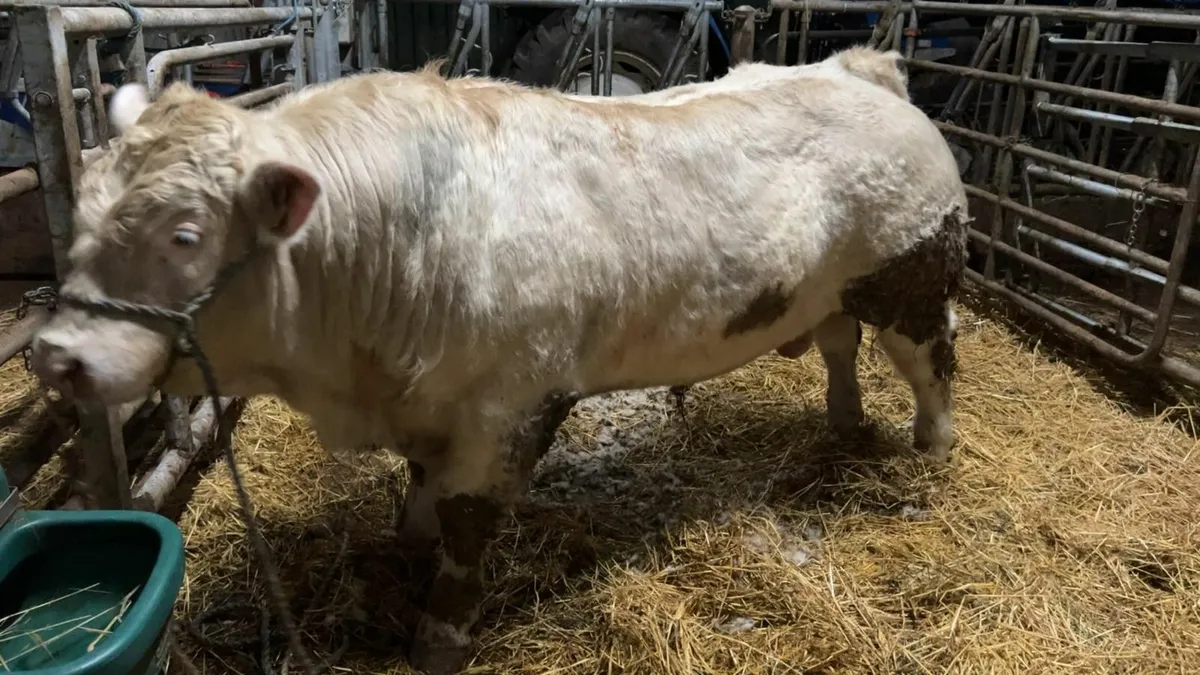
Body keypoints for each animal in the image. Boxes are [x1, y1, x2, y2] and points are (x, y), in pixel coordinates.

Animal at [31, 46, 969, 673]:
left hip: (914, 278)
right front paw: (405, 539)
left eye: (185, 234)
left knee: (929, 363)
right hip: (834, 292)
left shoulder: (510, 403)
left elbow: (468, 520)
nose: (52, 354)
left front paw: (438, 633)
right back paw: (843, 421)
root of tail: (859, 67)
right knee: (843, 347)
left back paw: (931, 446)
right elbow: (421, 486)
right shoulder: (427, 402)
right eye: (84, 208)